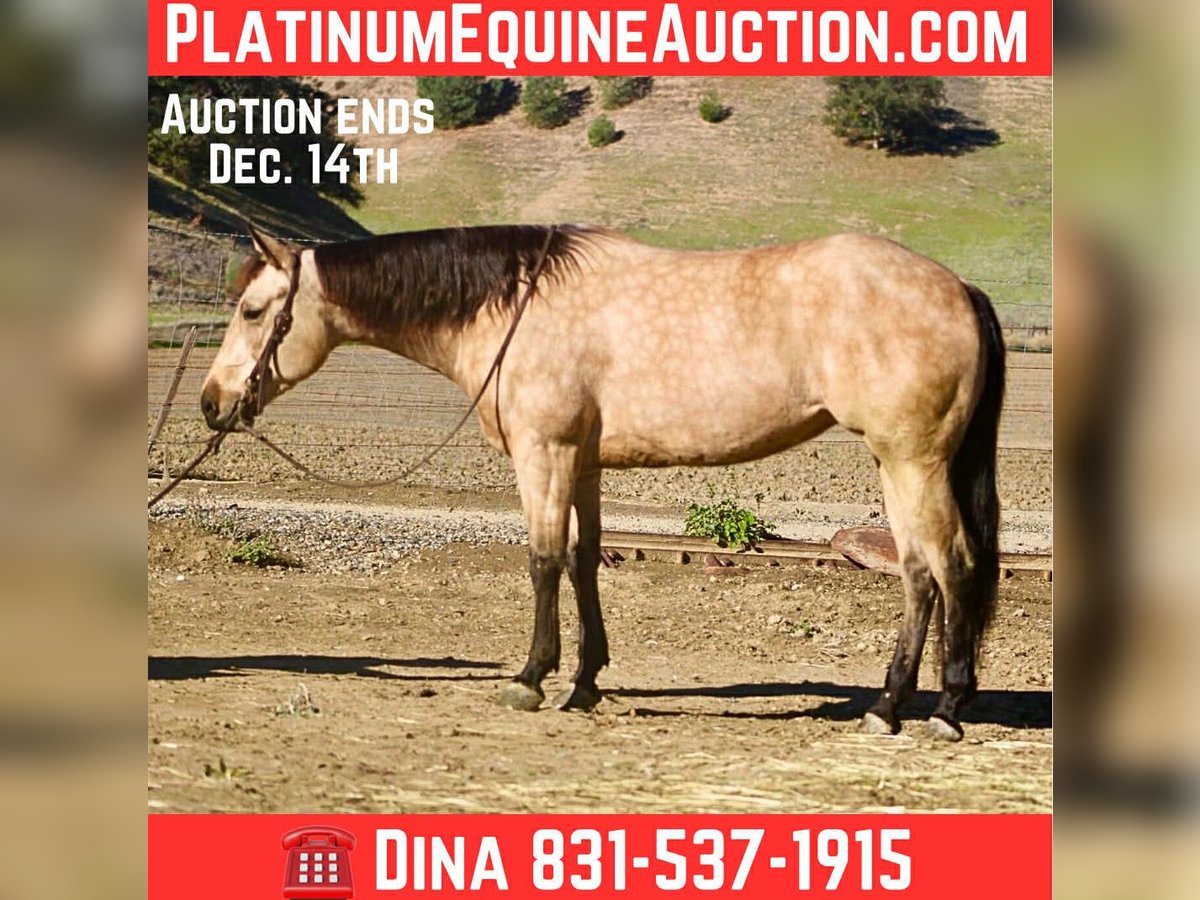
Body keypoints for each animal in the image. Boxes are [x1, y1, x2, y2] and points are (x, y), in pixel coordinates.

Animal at [200, 222, 1004, 741]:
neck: (515, 305)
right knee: (918, 575)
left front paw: (531, 678)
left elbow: (543, 561)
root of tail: (958, 287)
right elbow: (586, 562)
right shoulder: (582, 463)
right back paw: (888, 706)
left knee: (953, 566)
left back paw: (944, 711)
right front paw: (585, 682)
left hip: (913, 461)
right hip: (894, 464)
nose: (211, 403)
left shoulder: (544, 454)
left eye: (252, 310)